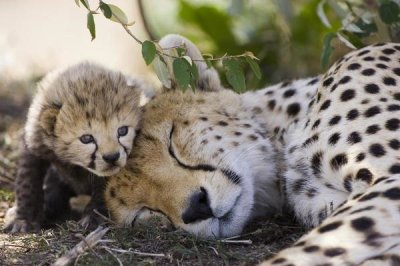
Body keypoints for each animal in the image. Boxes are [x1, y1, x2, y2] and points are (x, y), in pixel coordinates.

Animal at [4, 62, 145, 233]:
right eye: (87, 138)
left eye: (122, 130)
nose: (112, 157)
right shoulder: (34, 144)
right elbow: (27, 183)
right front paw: (23, 218)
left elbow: (104, 190)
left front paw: (94, 218)